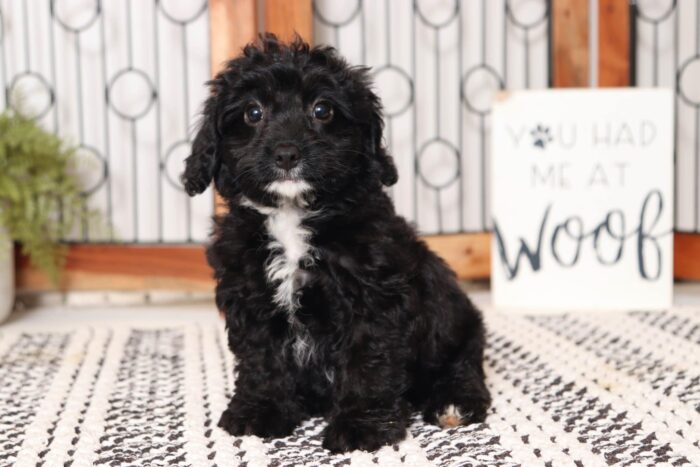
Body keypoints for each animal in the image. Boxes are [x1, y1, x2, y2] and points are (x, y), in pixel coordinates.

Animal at [180, 33, 490, 454]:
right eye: (252, 112)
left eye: (322, 110)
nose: (287, 153)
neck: (292, 215)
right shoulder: (250, 293)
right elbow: (261, 357)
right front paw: (260, 411)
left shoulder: (372, 298)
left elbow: (367, 361)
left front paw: (361, 426)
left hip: (454, 323)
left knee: (463, 363)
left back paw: (454, 403)